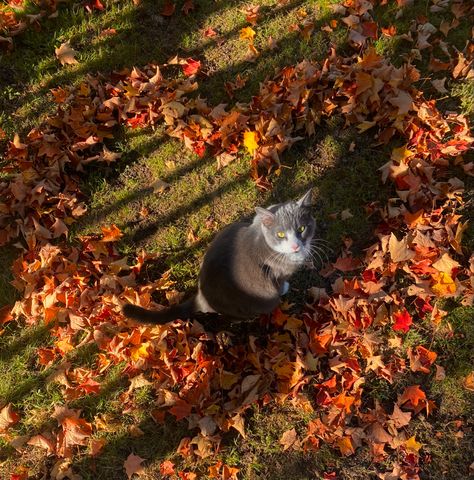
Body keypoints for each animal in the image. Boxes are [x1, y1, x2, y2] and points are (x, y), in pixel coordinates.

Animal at [122, 189, 314, 324]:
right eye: (280, 234)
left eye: (302, 229)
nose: (296, 245)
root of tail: (202, 298)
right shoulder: (277, 272)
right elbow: (281, 282)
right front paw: (285, 287)